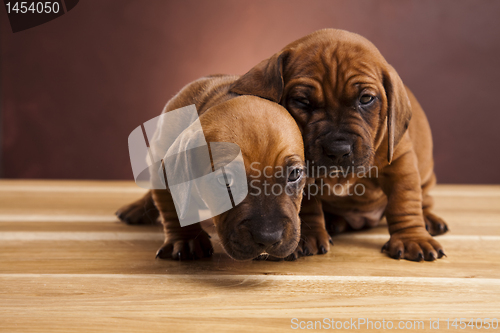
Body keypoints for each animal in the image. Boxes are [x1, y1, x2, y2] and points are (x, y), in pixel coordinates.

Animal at [229, 28, 448, 260]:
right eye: (302, 101)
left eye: (366, 99)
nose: (337, 151)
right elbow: (308, 203)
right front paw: (308, 236)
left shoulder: (400, 161)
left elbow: (404, 200)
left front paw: (412, 238)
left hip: (426, 177)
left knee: (424, 199)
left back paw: (429, 219)